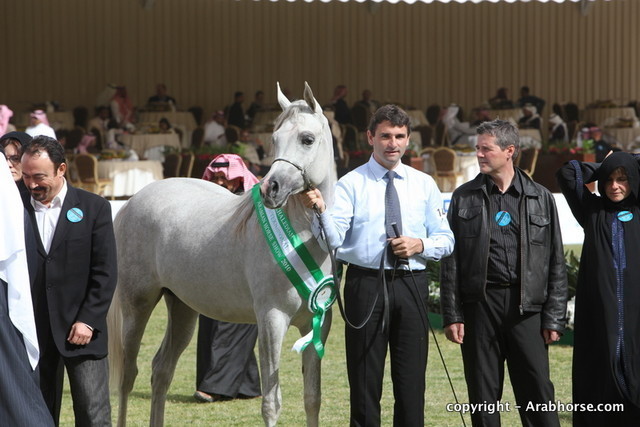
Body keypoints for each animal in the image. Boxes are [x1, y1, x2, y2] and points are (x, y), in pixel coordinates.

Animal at [108, 82, 336, 426]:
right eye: (274, 139)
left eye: (307, 139)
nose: (271, 188)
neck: (301, 240)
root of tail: (131, 203)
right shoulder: (271, 321)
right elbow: (272, 403)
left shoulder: (317, 324)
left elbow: (313, 399)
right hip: (137, 304)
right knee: (127, 376)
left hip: (182, 307)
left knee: (161, 370)